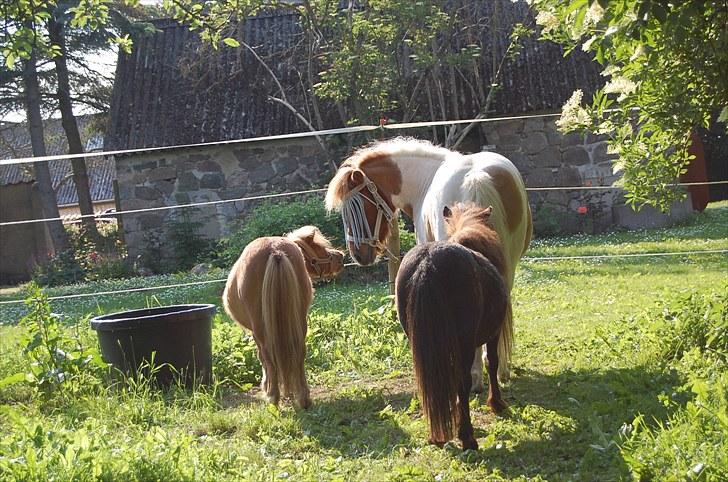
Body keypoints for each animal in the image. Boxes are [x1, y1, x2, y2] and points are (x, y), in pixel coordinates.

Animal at [222, 226, 344, 406]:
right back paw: (303, 397)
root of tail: (275, 251)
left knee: (268, 357)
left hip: (261, 329)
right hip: (299, 321)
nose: (340, 257)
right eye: (318, 247)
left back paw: (273, 396)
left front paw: (266, 386)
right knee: (299, 352)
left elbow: (262, 359)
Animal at [328, 137, 532, 386]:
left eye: (357, 205)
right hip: (508, 267)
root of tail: (476, 178)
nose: (358, 254)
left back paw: (474, 376)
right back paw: (500, 369)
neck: (424, 180)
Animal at [396, 201, 510, 450]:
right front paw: (496, 403)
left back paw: (437, 434)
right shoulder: (492, 335)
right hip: (463, 344)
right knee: (461, 381)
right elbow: (491, 362)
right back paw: (467, 437)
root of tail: (427, 263)